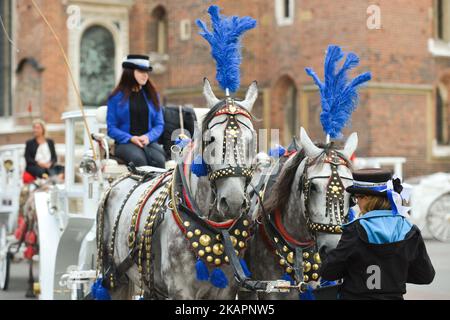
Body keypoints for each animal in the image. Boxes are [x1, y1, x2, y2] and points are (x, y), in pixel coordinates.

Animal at [97, 79, 260, 298]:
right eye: (210, 139)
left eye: (251, 141)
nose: (233, 201)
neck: (216, 229)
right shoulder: (180, 289)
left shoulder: (226, 290)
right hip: (113, 277)